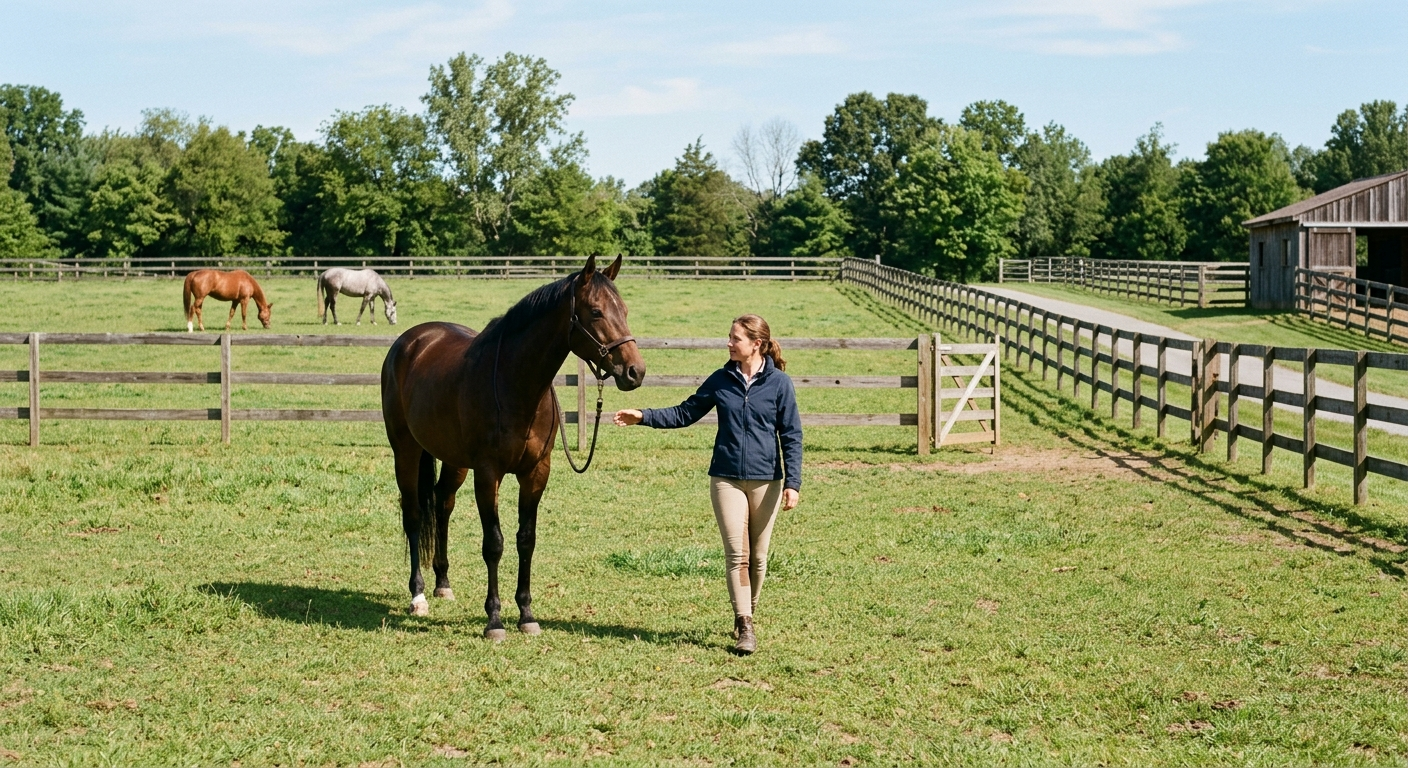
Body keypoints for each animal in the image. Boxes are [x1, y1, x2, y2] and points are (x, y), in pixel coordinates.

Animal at [380, 255, 644, 639]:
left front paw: (527, 615)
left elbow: (526, 540)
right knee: (413, 515)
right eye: (596, 312)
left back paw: (443, 583)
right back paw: (418, 596)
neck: (516, 385)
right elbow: (494, 543)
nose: (635, 371)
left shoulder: (535, 472)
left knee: (443, 504)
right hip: (406, 451)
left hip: (454, 461)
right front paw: (494, 620)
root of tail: (412, 341)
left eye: (624, 310)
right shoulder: (488, 473)